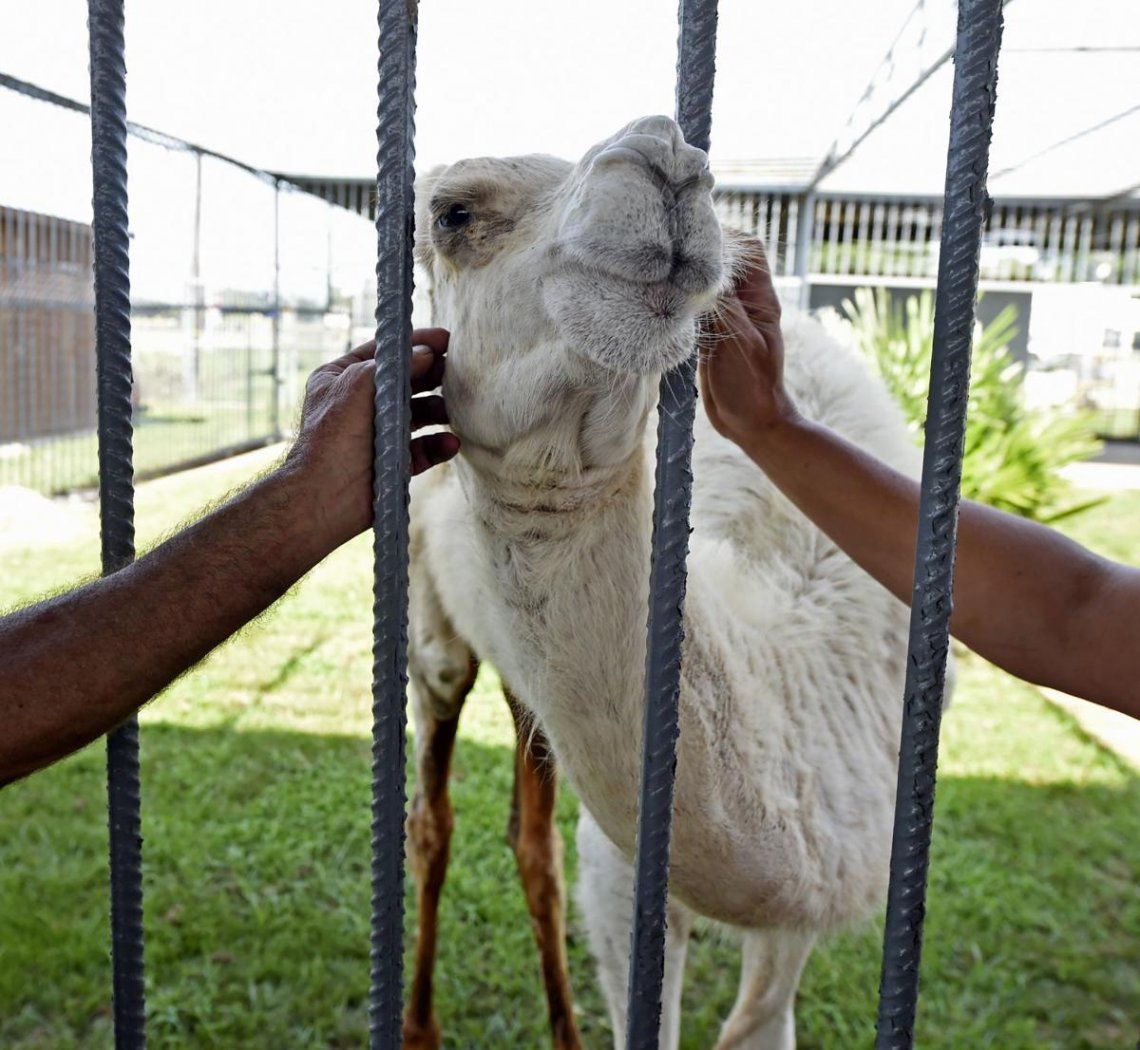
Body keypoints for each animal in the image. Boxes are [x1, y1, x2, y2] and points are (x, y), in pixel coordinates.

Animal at [408, 116, 925, 1048]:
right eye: (453, 212)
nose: (665, 158)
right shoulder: (625, 874)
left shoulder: (804, 903)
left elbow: (759, 1024)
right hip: (435, 636)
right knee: (433, 806)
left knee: (533, 837)